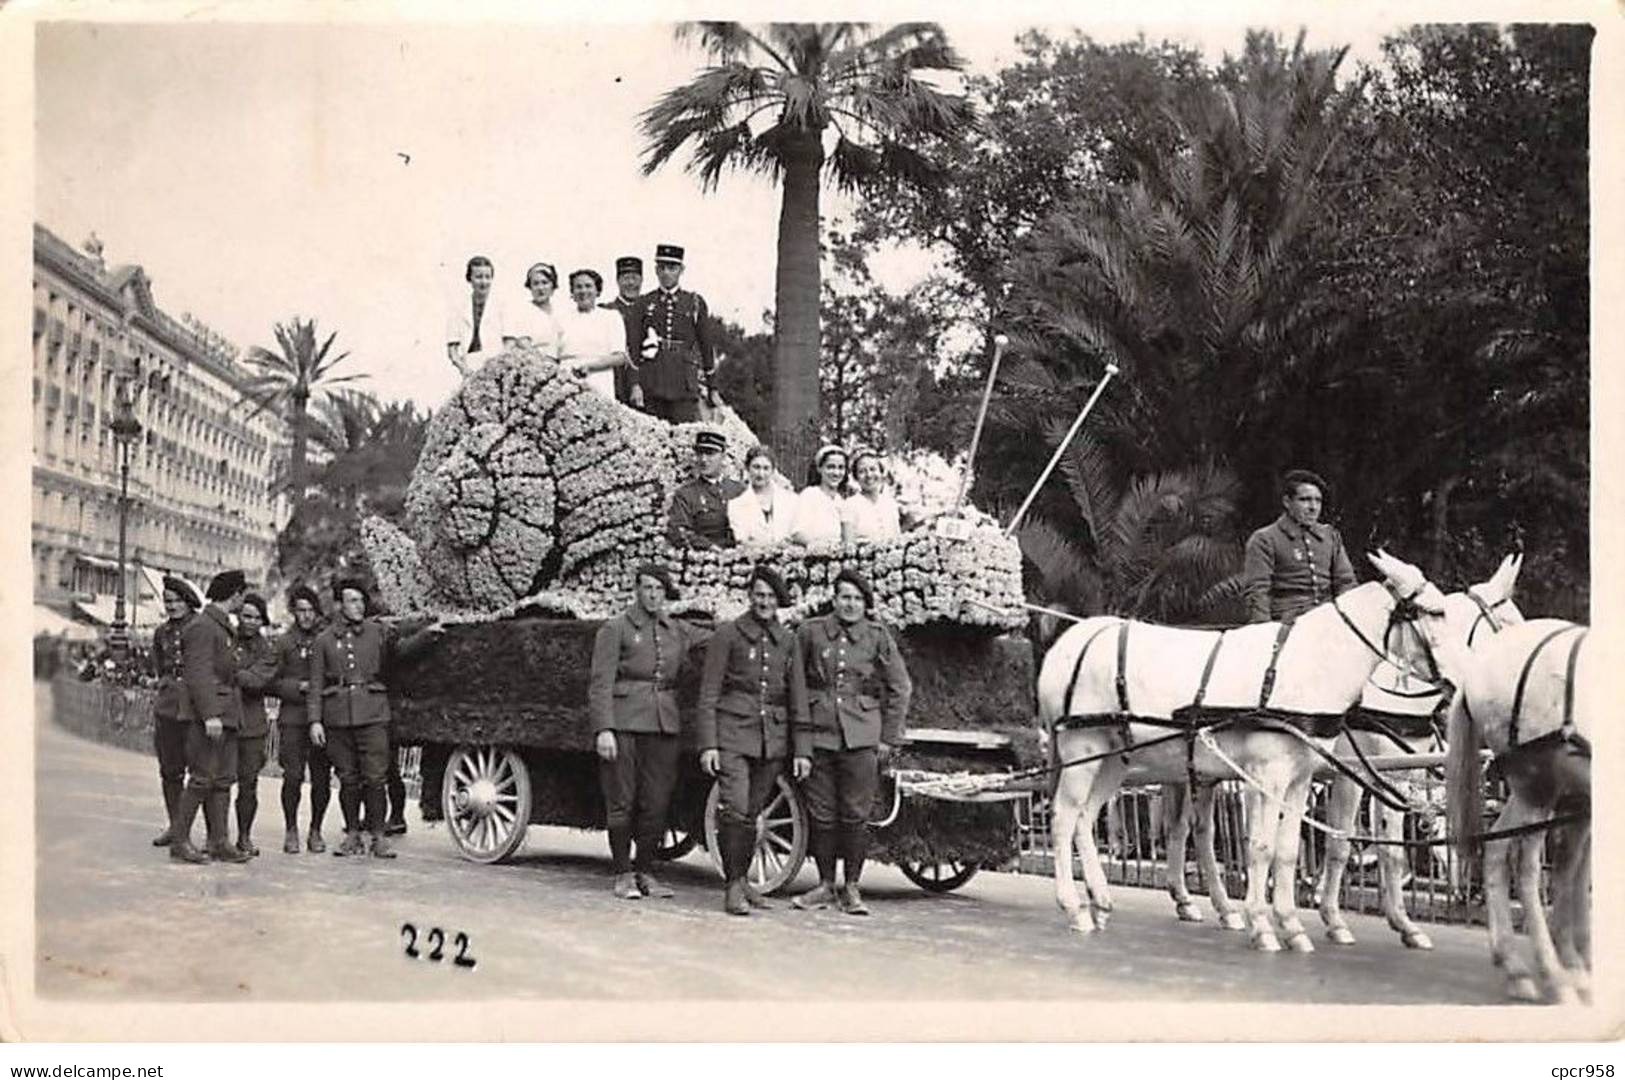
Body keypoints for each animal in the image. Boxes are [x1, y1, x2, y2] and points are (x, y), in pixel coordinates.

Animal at [1040, 552, 1449, 948]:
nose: (1454, 685)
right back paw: (1075, 906)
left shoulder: (1317, 777)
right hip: (1083, 752)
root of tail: (1071, 641)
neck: (1308, 665)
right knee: (1065, 818)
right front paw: (1276, 924)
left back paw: (1112, 901)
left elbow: (1303, 850)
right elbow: (1273, 846)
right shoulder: (1285, 775)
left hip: (1117, 760)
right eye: (1437, 612)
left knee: (1102, 820)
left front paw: (1301, 924)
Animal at [1157, 555, 1521, 941]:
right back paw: (1208, 902)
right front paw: (1338, 916)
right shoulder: (1357, 775)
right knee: (1196, 830)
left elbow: (1377, 849)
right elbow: (1346, 844)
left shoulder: (1384, 776)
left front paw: (1395, 922)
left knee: (1191, 829)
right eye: (1509, 626)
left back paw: (1206, 904)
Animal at [1443, 620, 1592, 1006]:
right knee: (1525, 867)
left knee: (1502, 851)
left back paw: (1518, 965)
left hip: (1549, 794)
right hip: (1537, 789)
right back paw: (1554, 975)